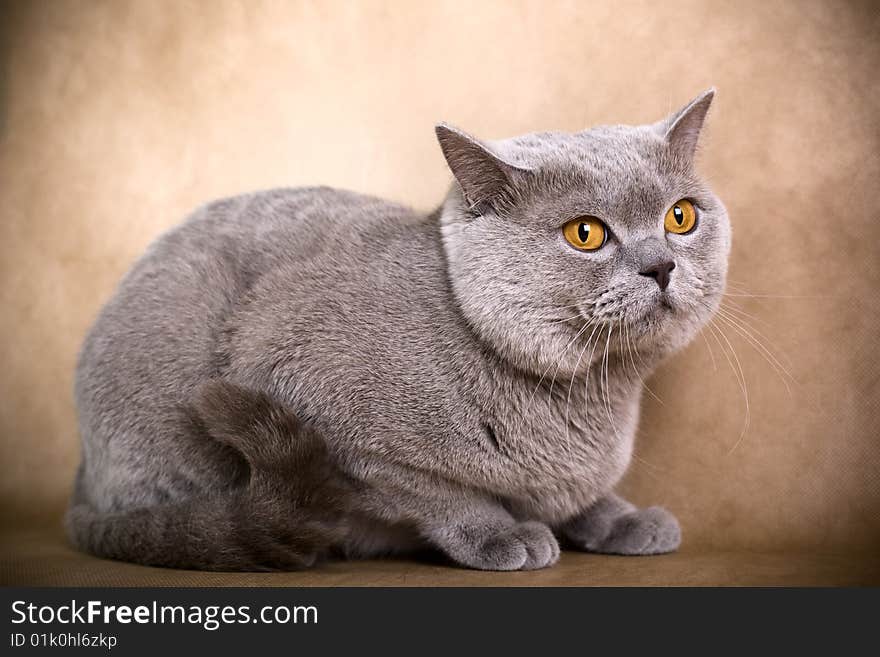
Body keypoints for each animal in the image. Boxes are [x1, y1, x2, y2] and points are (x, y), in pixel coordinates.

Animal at [67, 89, 728, 572]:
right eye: (585, 233)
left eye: (680, 217)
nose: (660, 265)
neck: (594, 394)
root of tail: (82, 481)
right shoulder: (308, 394)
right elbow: (437, 493)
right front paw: (506, 535)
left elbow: (578, 495)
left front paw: (622, 518)